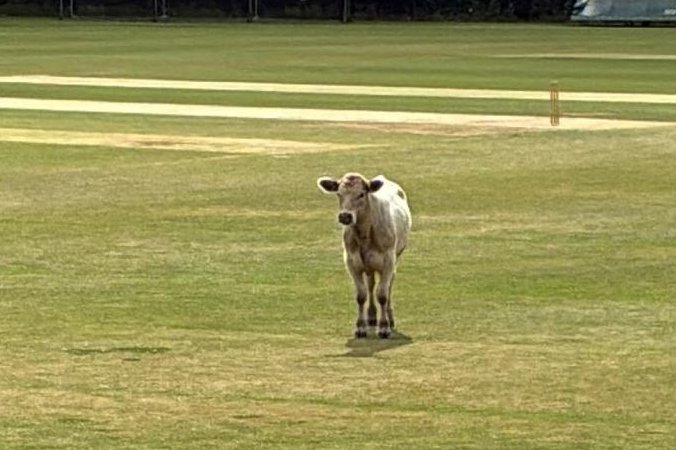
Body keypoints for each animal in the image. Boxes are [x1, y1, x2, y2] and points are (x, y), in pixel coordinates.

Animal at [317, 173, 411, 339]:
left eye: (361, 194)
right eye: (339, 194)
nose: (345, 216)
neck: (365, 235)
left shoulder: (388, 261)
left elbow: (382, 295)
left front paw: (384, 327)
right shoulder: (351, 262)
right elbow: (361, 295)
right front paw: (360, 327)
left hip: (396, 257)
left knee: (389, 286)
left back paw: (390, 318)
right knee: (371, 284)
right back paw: (372, 316)